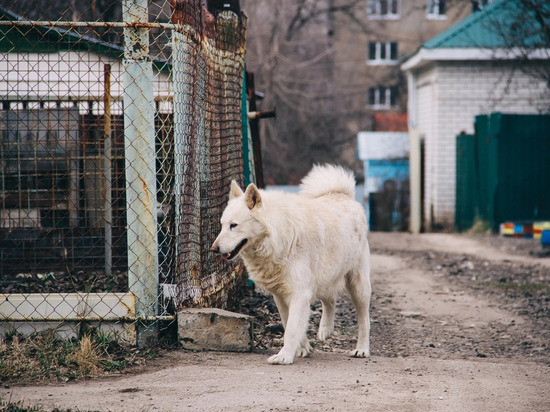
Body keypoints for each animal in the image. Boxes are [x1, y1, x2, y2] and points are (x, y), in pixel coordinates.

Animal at [213, 164, 374, 364]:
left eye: (233, 225)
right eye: (222, 225)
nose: (214, 249)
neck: (277, 237)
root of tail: (344, 196)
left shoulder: (299, 294)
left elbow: (290, 329)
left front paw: (284, 356)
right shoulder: (281, 296)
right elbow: (288, 323)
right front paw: (302, 348)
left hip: (358, 286)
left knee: (364, 320)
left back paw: (362, 349)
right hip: (323, 280)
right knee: (330, 299)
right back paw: (326, 330)